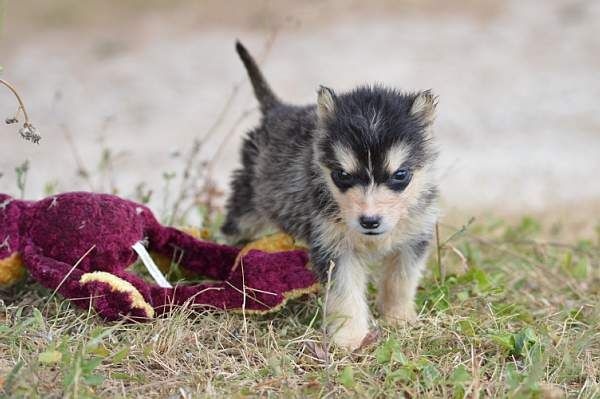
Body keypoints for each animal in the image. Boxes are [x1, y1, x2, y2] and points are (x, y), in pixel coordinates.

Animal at [223, 40, 438, 350]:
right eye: (342, 175)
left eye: (400, 175)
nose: (369, 221)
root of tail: (277, 110)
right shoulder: (335, 247)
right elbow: (344, 293)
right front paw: (350, 338)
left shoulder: (414, 238)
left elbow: (401, 280)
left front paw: (398, 318)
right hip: (248, 207)